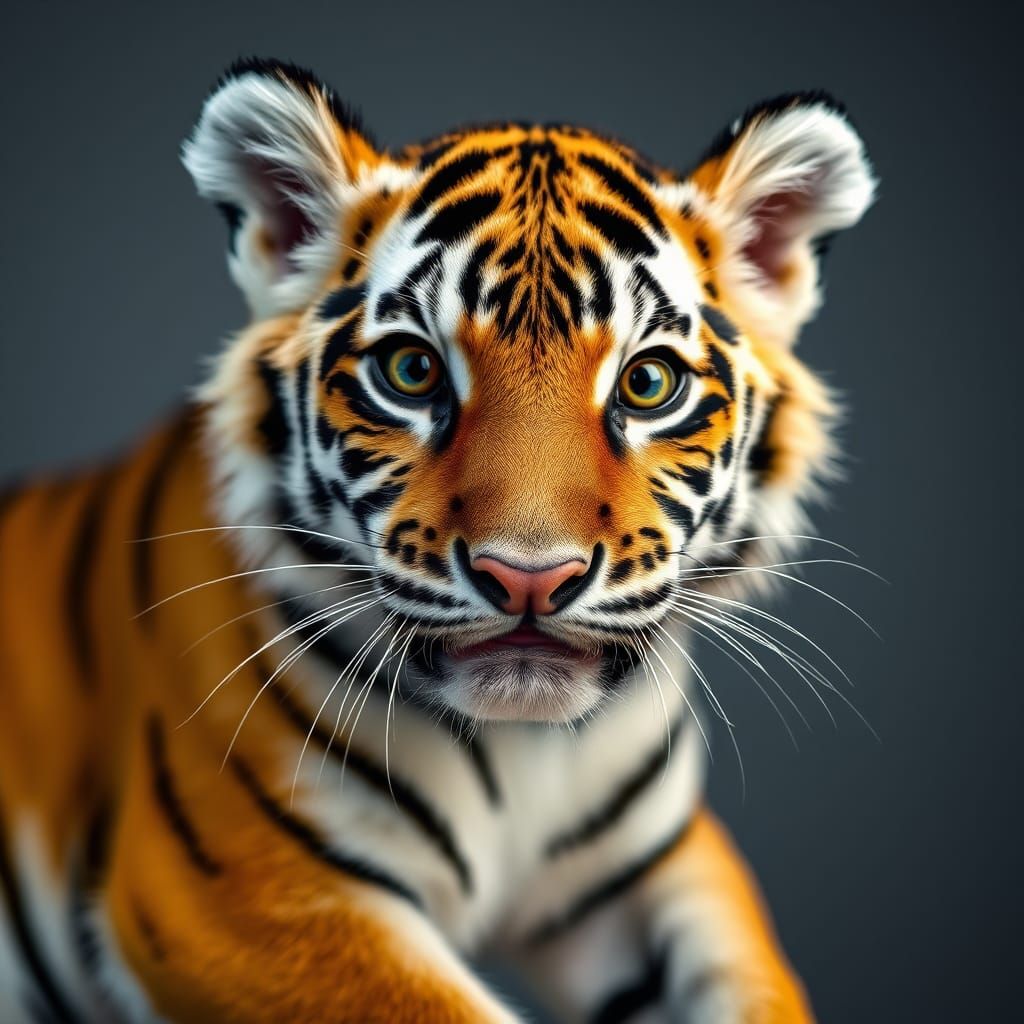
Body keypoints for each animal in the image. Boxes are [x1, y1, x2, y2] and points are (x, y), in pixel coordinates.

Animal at [0, 58, 874, 1023]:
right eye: (412, 371)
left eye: (647, 384)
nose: (530, 577)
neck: (524, 752)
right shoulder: (235, 889)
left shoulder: (652, 869)